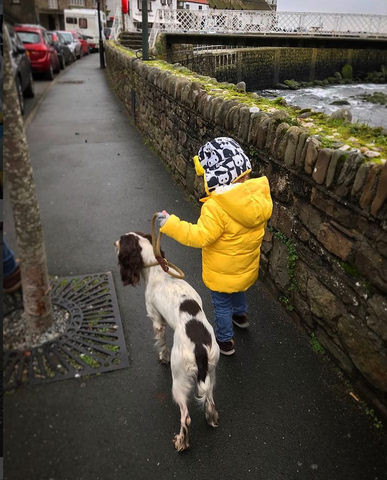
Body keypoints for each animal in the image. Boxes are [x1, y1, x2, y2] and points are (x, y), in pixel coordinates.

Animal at [115, 232, 220, 450]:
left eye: (121, 241)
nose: (114, 243)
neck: (158, 270)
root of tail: (199, 348)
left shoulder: (156, 320)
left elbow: (161, 343)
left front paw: (162, 357)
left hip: (179, 378)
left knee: (185, 417)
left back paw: (182, 442)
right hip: (211, 370)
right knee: (210, 400)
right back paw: (211, 418)